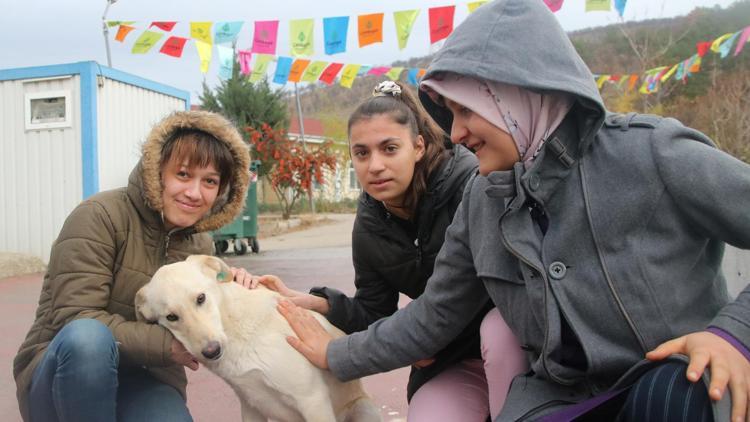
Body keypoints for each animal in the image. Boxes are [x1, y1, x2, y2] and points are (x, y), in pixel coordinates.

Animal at [136, 254, 382, 422]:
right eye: (171, 317)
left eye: (201, 298)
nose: (211, 351)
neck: (235, 328)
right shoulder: (250, 405)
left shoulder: (313, 401)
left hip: (364, 409)